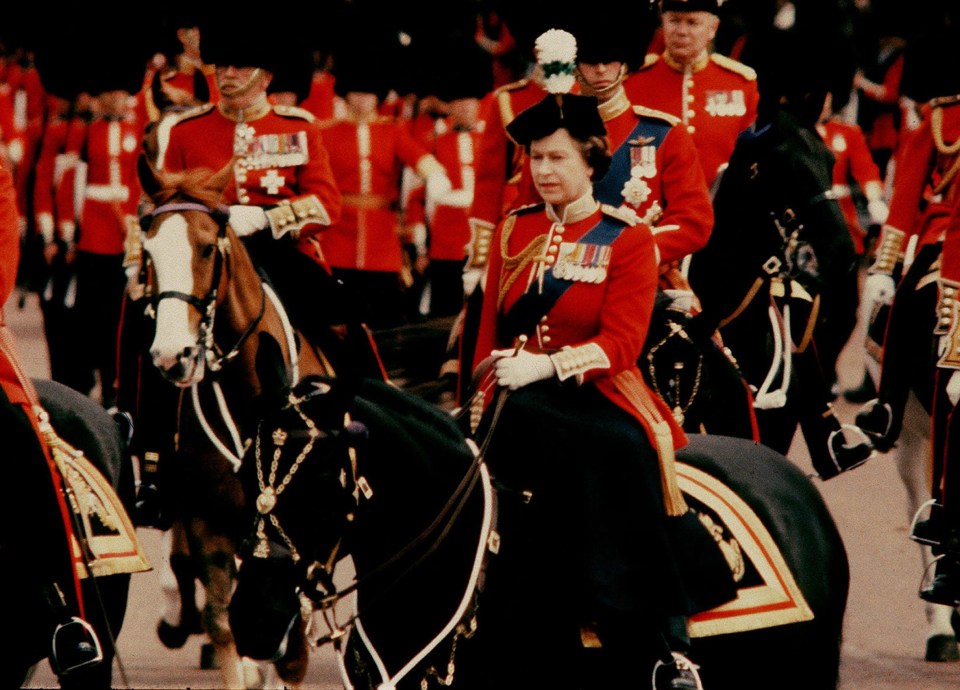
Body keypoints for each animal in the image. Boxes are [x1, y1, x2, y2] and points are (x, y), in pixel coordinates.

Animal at [130, 160, 334, 684]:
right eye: (150, 250)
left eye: (207, 246)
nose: (171, 355)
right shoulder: (211, 524)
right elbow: (224, 624)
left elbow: (292, 650)